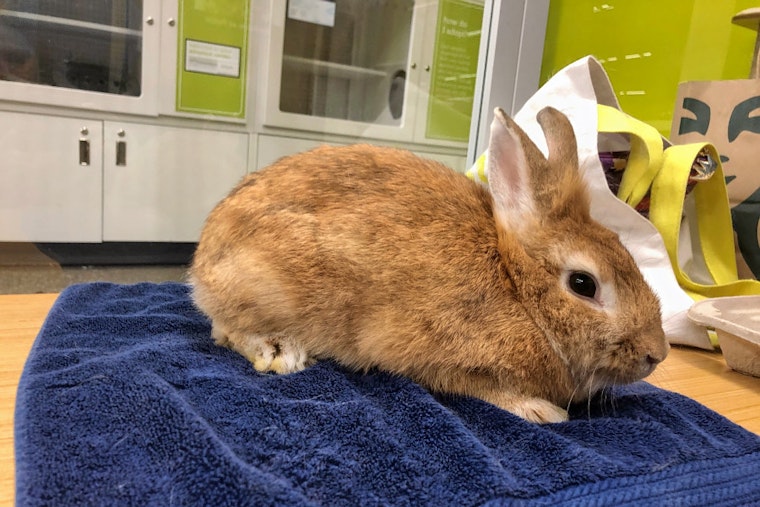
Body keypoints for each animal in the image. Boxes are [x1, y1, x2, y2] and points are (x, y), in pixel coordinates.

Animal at [190, 106, 669, 424]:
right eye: (584, 284)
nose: (657, 354)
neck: (515, 286)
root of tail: (203, 263)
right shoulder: (440, 357)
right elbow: (482, 387)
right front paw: (542, 411)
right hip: (266, 286)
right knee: (225, 329)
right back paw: (279, 352)